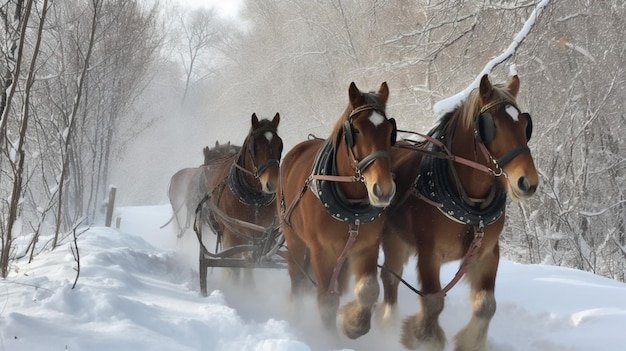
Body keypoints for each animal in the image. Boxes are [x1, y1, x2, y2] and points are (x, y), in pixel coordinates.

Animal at [197, 114, 282, 288]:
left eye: (279, 145)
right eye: (254, 147)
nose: (273, 183)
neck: (254, 199)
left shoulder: (258, 234)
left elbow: (248, 263)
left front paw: (249, 288)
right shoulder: (232, 234)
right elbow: (234, 265)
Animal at [276, 82, 394, 340]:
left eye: (391, 130)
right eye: (356, 130)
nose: (383, 190)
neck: (352, 210)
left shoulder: (367, 247)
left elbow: (369, 289)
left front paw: (354, 323)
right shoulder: (322, 252)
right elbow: (327, 301)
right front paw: (330, 339)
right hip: (293, 237)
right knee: (296, 278)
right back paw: (295, 314)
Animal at [378, 75, 540, 351]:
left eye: (524, 124)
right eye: (492, 126)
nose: (527, 182)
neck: (471, 208)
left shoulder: (487, 254)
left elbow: (487, 305)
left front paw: (469, 342)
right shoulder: (428, 254)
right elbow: (433, 303)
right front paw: (420, 337)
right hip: (393, 241)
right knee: (390, 278)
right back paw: (387, 325)